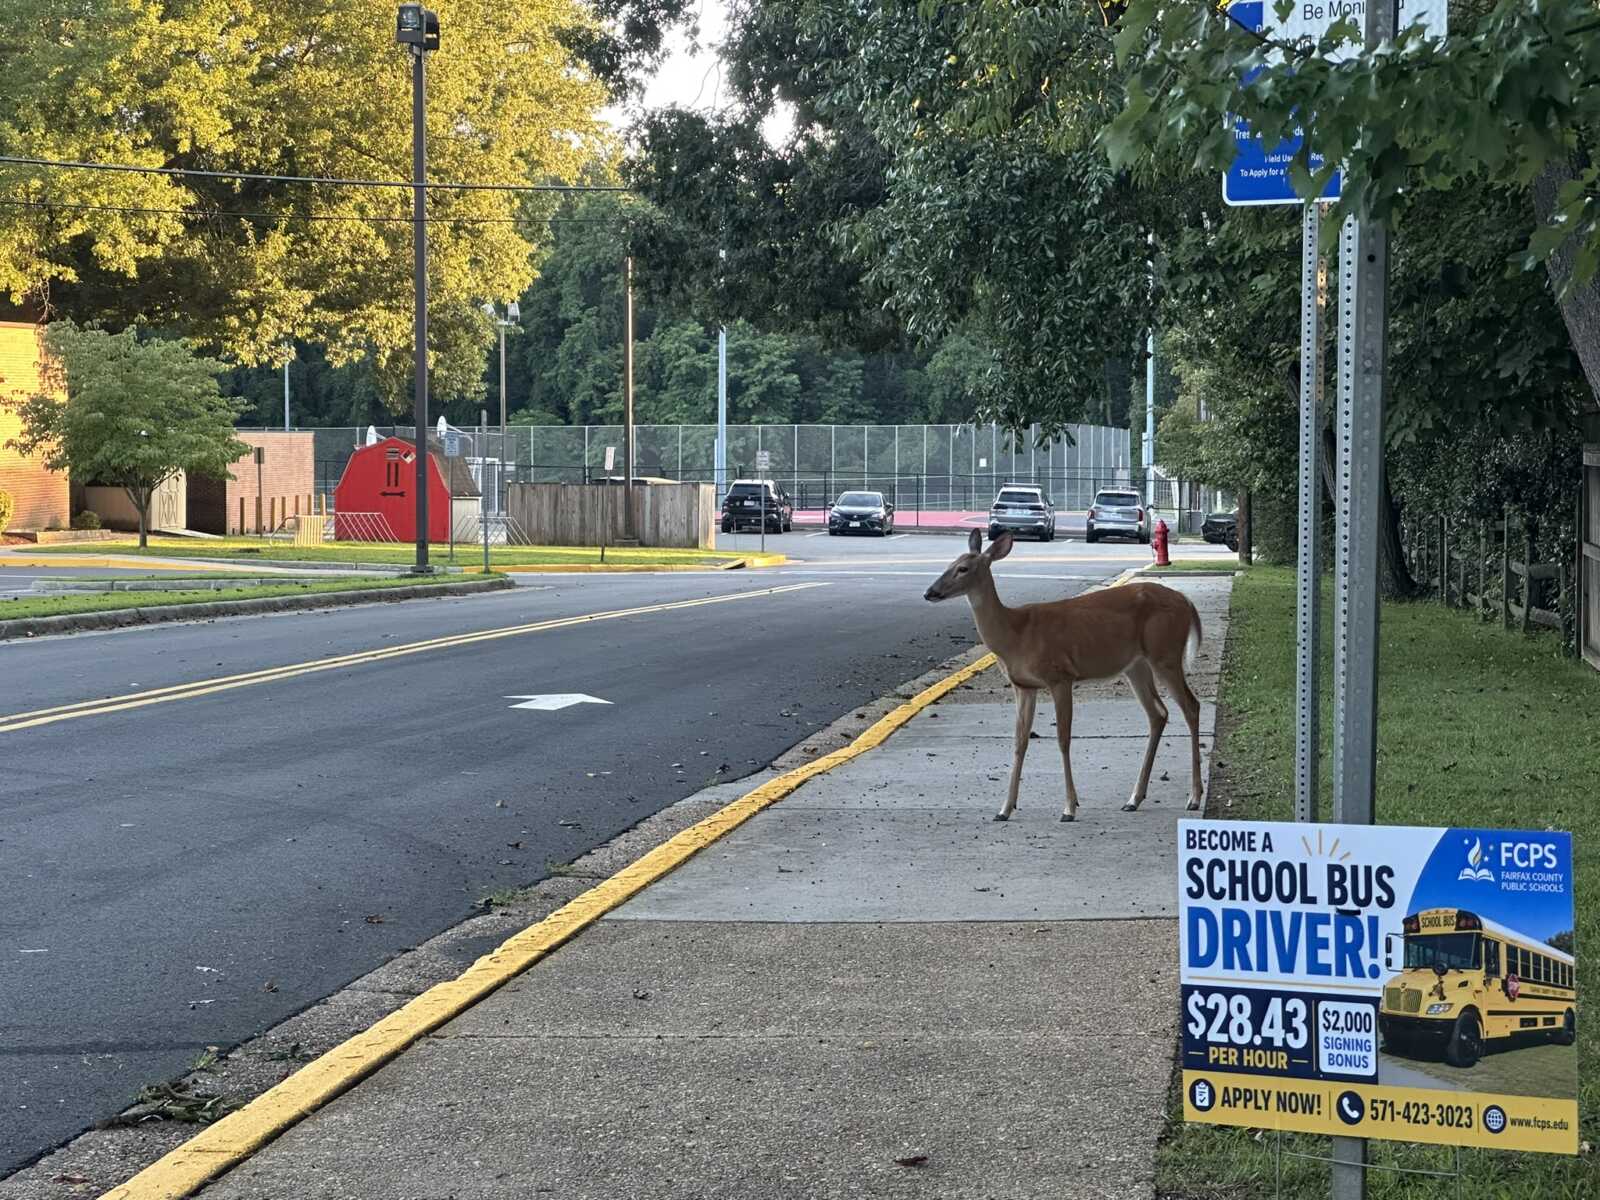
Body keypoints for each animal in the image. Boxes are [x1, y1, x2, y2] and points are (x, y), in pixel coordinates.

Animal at [923, 529, 1205, 822]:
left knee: (1191, 706)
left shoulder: (1060, 676)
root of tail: (1187, 602)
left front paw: (1069, 808)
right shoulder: (1023, 686)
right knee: (1158, 714)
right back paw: (1134, 799)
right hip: (1136, 665)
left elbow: (1063, 739)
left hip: (1165, 654)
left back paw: (1194, 797)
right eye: (949, 563)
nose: (929, 592)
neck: (1015, 635)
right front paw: (1004, 809)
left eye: (963, 569)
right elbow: (1019, 742)